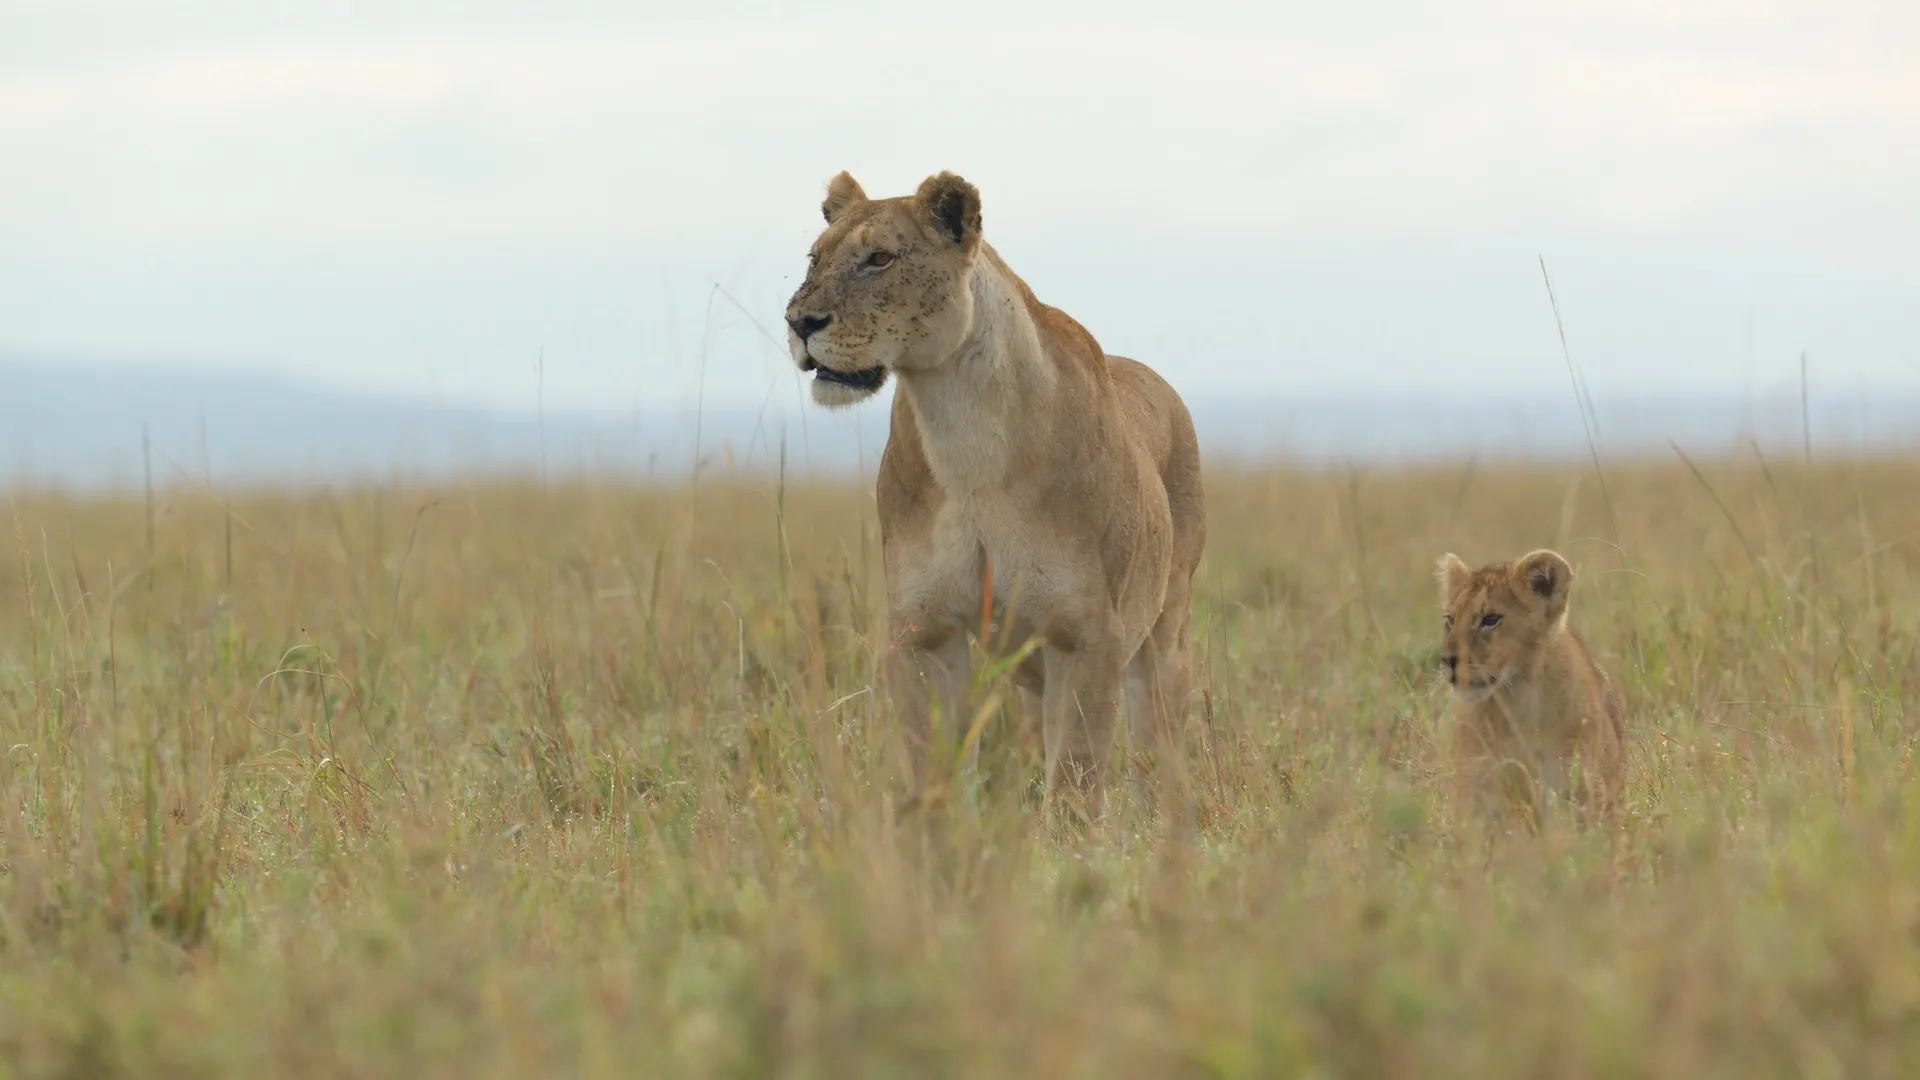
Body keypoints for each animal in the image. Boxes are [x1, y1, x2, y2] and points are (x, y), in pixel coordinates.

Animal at [783, 169, 1207, 819]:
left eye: (879, 259)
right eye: (814, 258)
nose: (799, 322)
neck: (963, 432)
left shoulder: (1086, 633)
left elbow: (1077, 773)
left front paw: (1073, 842)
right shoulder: (924, 629)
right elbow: (933, 759)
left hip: (1165, 631)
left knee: (1157, 741)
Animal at [1435, 548, 1625, 824]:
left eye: (1490, 619)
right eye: (1450, 620)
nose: (1448, 660)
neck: (1516, 698)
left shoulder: (1577, 788)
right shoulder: (1477, 788)